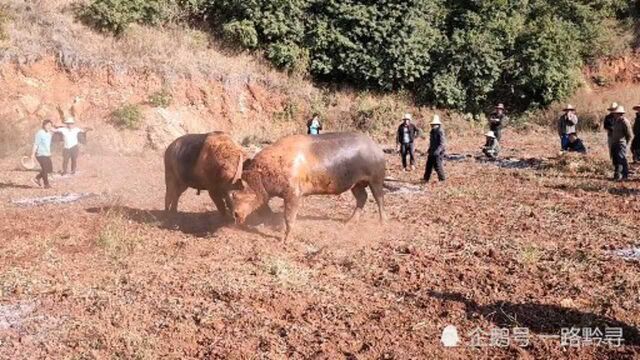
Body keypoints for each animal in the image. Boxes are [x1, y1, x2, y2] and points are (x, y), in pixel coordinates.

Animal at [229, 131, 384, 240]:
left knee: (379, 198)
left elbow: (289, 216)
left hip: (376, 178)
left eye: (235, 194)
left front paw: (285, 240)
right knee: (362, 197)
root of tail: (377, 149)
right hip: (356, 184)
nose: (235, 215)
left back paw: (382, 223)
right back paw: (349, 222)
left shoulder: (294, 193)